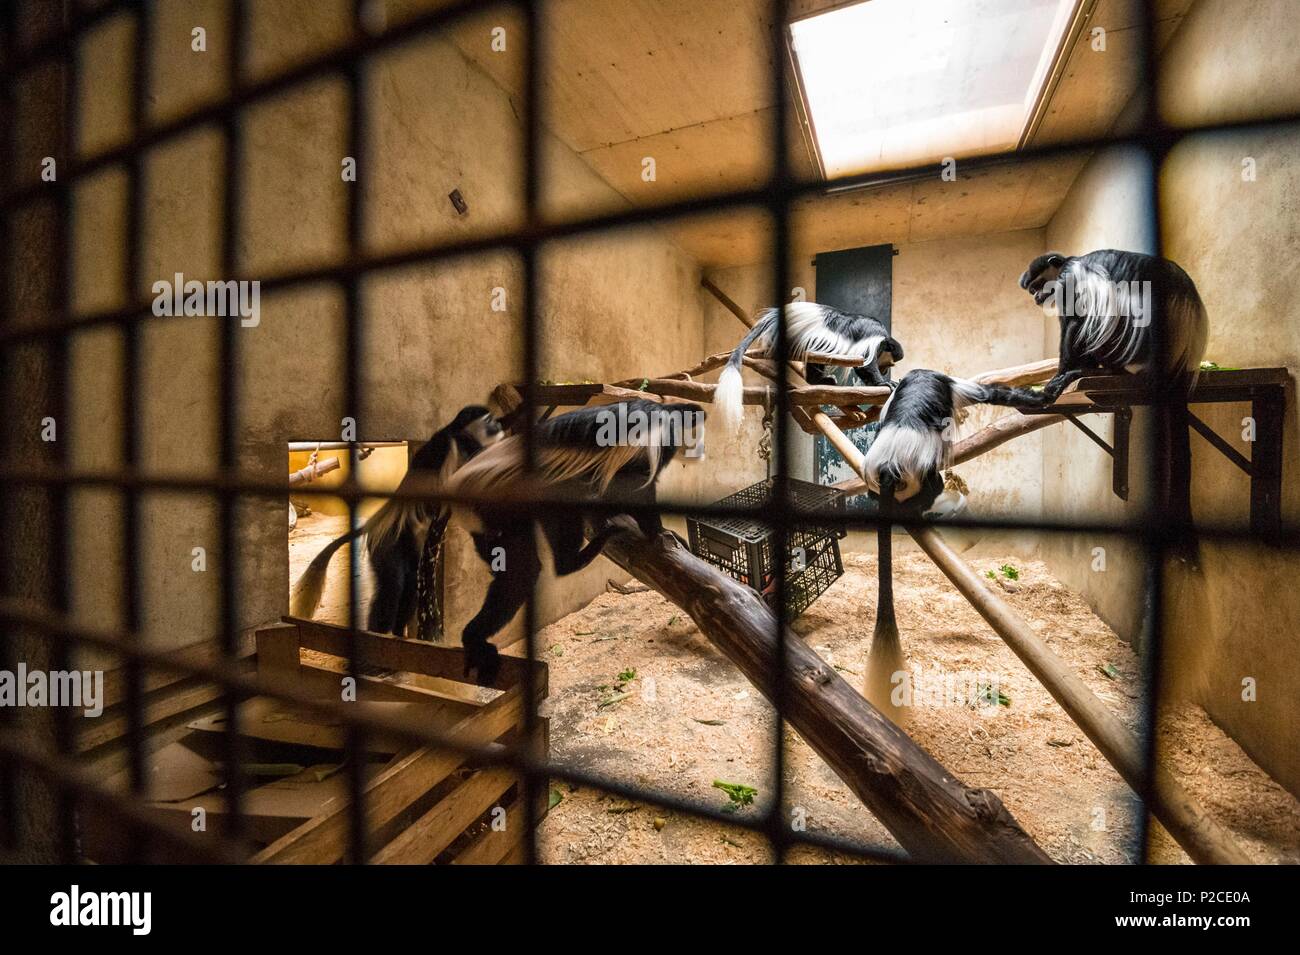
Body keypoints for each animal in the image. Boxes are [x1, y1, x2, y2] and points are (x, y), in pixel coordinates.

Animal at [289, 405, 501, 634]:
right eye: (489, 420)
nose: (498, 426)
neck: (462, 435)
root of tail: (378, 520)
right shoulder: (457, 448)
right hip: (386, 544)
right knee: (392, 586)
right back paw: (379, 632)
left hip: (410, 543)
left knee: (411, 582)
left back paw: (399, 632)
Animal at [447, 397, 712, 686]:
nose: (701, 448)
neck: (668, 415)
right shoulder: (653, 443)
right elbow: (636, 483)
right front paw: (659, 533)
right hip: (516, 501)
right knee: (529, 566)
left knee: (515, 565)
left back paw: (474, 639)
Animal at [712, 304, 904, 431]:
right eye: (889, 364)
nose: (885, 370)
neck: (884, 340)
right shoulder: (872, 340)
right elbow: (865, 366)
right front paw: (883, 383)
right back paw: (824, 380)